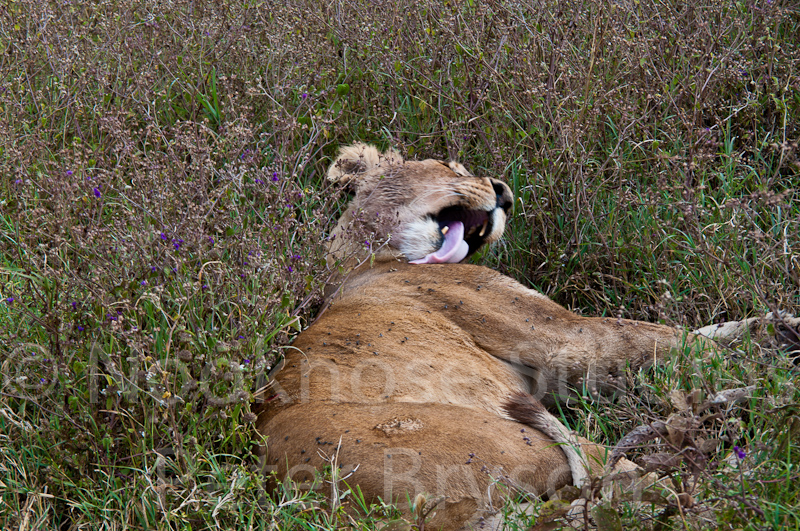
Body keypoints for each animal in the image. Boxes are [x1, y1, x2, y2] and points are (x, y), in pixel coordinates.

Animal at [255, 143, 799, 530]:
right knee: (654, 490)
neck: (365, 261)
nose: (504, 191)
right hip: (520, 441)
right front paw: (777, 368)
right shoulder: (563, 338)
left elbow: (705, 332)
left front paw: (777, 329)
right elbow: (679, 340)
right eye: (449, 164)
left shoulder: (552, 376)